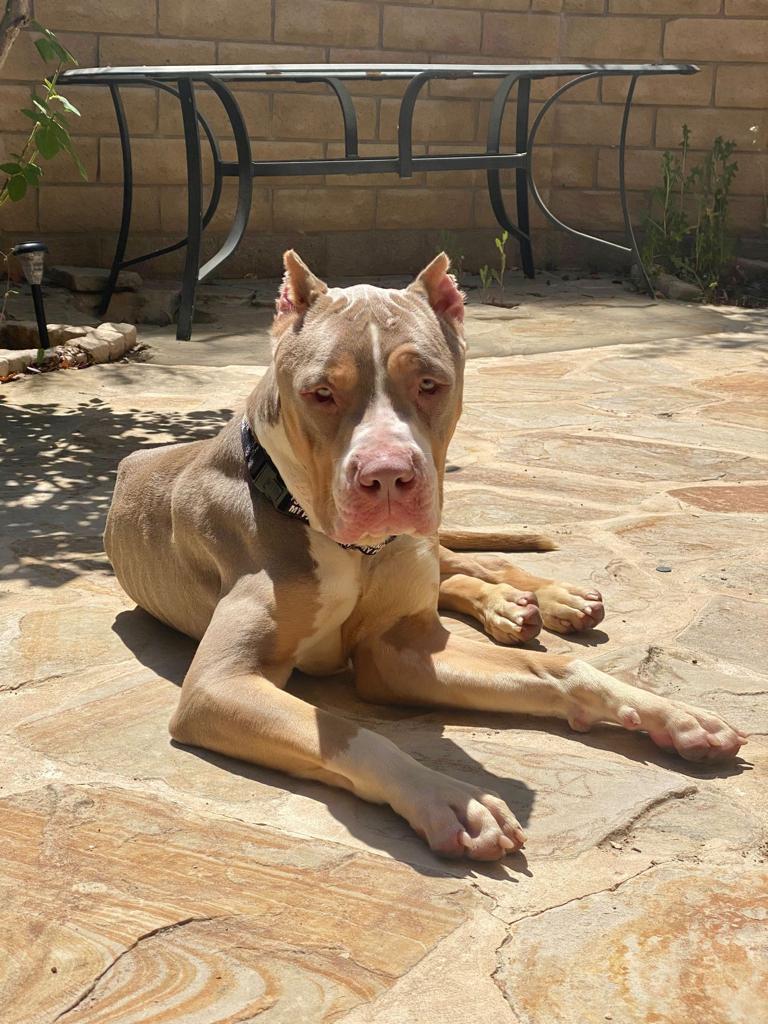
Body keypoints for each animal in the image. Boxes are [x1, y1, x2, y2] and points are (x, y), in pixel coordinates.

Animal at [105, 251, 746, 861]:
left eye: (431, 384)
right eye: (320, 394)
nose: (387, 475)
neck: (349, 544)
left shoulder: (402, 649)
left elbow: (560, 669)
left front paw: (673, 715)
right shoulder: (221, 684)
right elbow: (351, 732)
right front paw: (449, 797)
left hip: (430, 545)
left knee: (470, 566)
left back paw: (547, 599)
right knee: (455, 580)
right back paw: (510, 609)